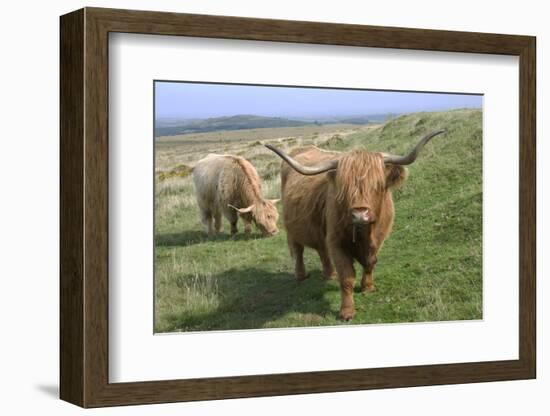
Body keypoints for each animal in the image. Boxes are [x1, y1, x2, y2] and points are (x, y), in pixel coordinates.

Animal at [268, 130, 448, 318]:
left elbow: (370, 262)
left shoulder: (379, 238)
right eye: (345, 187)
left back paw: (330, 274)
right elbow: (347, 277)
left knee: (321, 249)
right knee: (298, 250)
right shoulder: (337, 242)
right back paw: (301, 275)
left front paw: (368, 287)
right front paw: (347, 311)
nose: (360, 214)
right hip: (292, 228)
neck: (365, 233)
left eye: (377, 184)